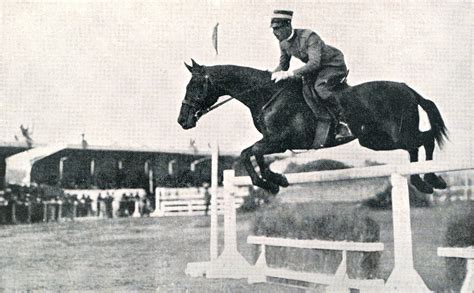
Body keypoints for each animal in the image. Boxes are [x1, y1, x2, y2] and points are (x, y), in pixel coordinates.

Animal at [177, 59, 448, 194]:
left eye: (195, 86)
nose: (182, 120)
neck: (267, 95)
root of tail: (407, 89)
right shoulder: (273, 141)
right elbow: (253, 153)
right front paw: (275, 180)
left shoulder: (280, 141)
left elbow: (249, 153)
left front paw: (269, 182)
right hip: (377, 140)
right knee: (417, 144)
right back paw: (423, 181)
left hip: (390, 137)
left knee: (424, 140)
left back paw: (430, 179)